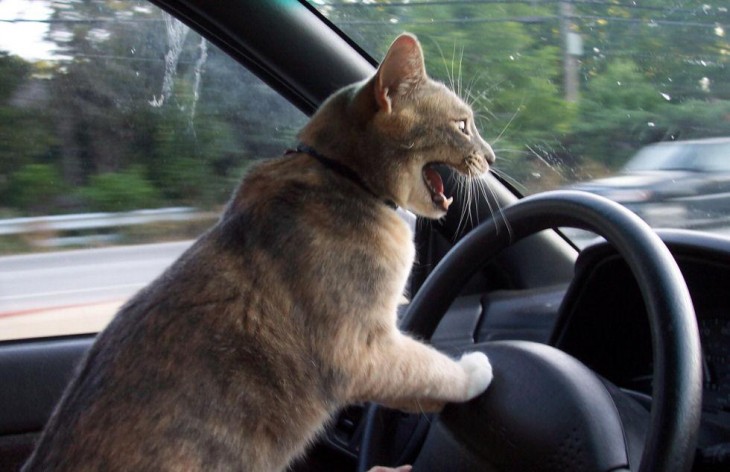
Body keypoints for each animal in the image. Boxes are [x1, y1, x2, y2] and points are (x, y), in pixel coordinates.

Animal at [22, 32, 494, 472]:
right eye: (463, 125)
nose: (490, 156)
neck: (343, 176)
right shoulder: (364, 347)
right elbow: (428, 368)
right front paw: (473, 370)